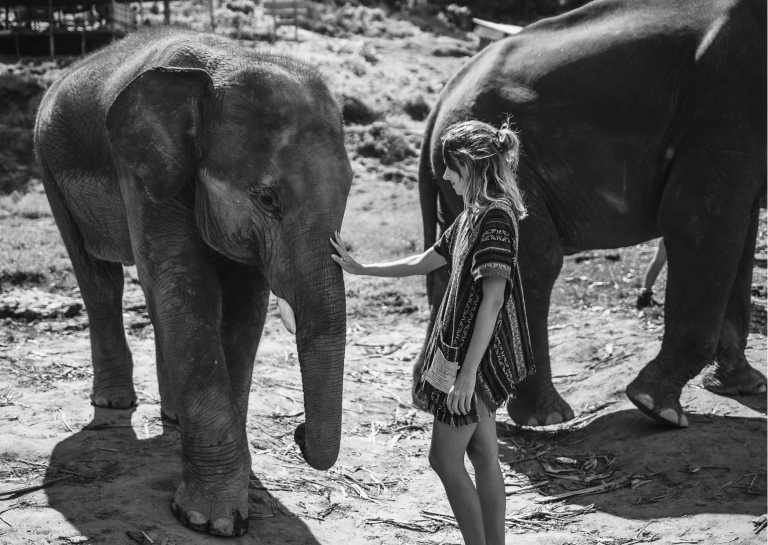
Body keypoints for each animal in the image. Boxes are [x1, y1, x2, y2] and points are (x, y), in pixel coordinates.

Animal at [34, 29, 352, 536]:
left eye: (349, 191)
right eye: (267, 199)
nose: (299, 433)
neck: (228, 60)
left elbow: (243, 307)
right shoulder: (142, 169)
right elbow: (186, 285)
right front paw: (212, 521)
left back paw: (174, 416)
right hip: (48, 167)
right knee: (99, 279)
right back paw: (114, 401)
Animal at [417, 0, 766, 429]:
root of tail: (440, 103)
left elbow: (740, 231)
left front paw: (744, 386)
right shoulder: (726, 103)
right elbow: (698, 222)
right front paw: (657, 407)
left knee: (455, 267)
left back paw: (434, 399)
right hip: (508, 166)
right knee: (536, 260)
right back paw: (547, 416)